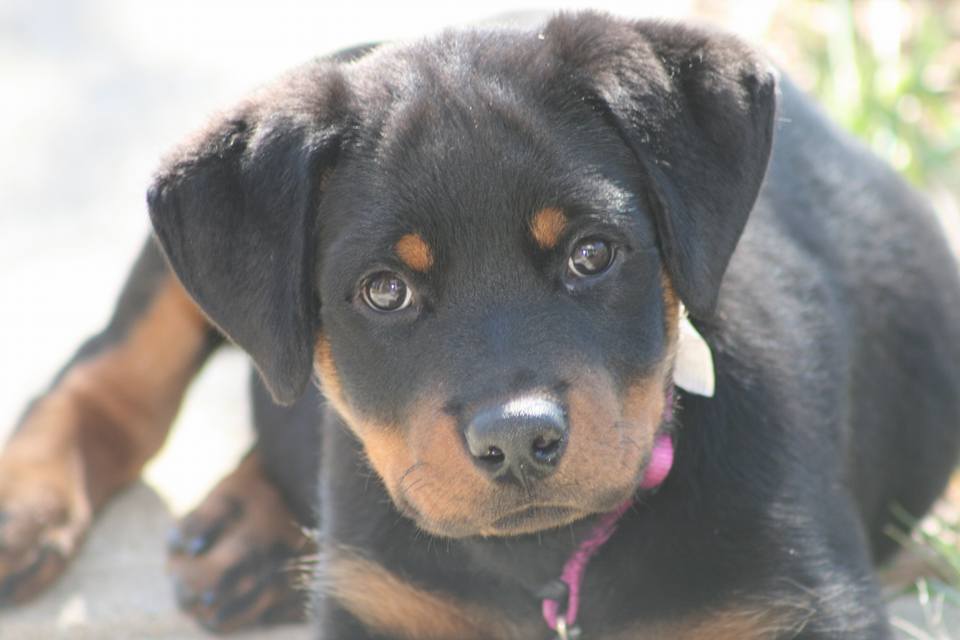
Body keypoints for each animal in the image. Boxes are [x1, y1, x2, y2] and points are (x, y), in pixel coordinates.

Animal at [1, 11, 960, 640]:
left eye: (591, 254)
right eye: (384, 291)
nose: (517, 442)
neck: (548, 565)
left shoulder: (801, 600)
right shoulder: (384, 609)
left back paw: (245, 532)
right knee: (112, 371)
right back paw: (29, 508)